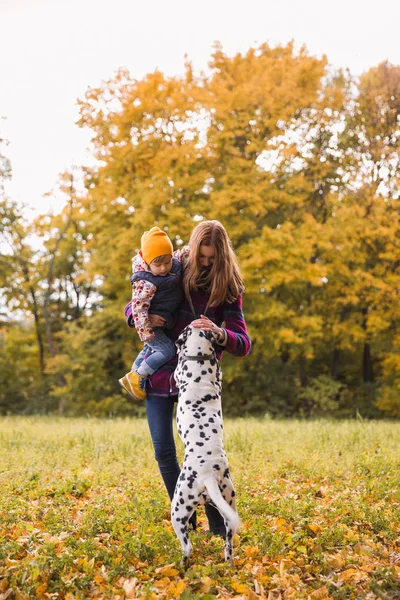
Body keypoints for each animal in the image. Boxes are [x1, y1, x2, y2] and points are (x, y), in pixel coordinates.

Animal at [170, 324, 239, 564]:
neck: (198, 358)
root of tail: (208, 475)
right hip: (228, 505)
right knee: (228, 544)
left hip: (178, 509)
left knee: (187, 546)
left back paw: (181, 563)